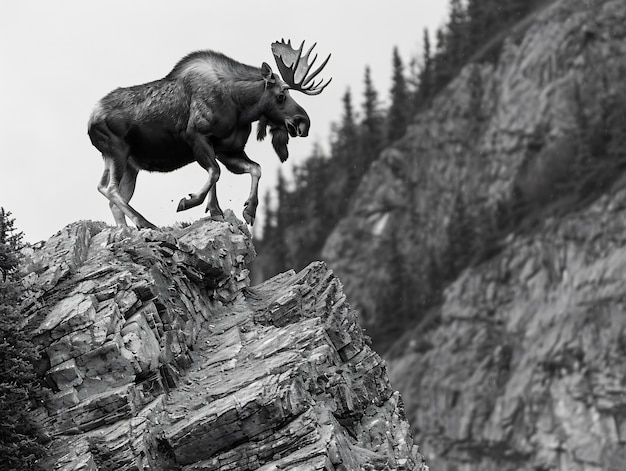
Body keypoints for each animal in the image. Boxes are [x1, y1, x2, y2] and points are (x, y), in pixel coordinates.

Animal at [89, 40, 332, 229]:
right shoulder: (197, 137)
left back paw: (125, 232)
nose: (304, 123)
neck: (239, 106)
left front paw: (245, 210)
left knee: (108, 192)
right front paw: (191, 202)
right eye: (281, 95)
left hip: (126, 164)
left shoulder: (228, 149)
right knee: (110, 189)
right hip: (118, 151)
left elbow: (254, 169)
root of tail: (90, 120)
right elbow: (215, 172)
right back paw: (145, 222)